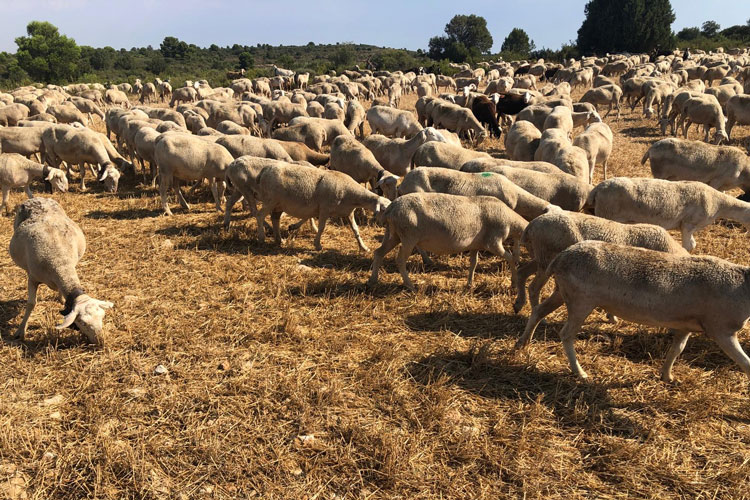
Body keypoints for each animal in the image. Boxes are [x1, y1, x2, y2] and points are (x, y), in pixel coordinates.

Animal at [8, 198, 113, 345]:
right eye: (83, 323)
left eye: (102, 316)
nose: (101, 341)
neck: (60, 262)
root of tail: (37, 198)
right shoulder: (33, 278)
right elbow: (31, 304)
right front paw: (20, 331)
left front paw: (61, 298)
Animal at [249, 162, 390, 251]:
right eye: (384, 209)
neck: (350, 193)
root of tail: (264, 171)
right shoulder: (324, 209)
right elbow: (322, 228)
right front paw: (317, 245)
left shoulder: (348, 212)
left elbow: (356, 230)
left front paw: (363, 247)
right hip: (270, 200)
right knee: (260, 215)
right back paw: (261, 238)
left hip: (279, 204)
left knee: (275, 218)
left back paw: (279, 240)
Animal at [368, 192, 528, 289]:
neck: (511, 221)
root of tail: (391, 208)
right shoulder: (493, 242)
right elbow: (510, 258)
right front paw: (514, 283)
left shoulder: (476, 244)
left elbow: (473, 263)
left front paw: (469, 283)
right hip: (408, 237)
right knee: (400, 259)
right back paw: (410, 285)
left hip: (393, 234)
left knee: (378, 252)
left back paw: (373, 280)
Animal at [512, 211, 686, 314]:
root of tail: (532, 225)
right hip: (546, 256)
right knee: (534, 287)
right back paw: (536, 311)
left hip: (541, 257)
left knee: (522, 272)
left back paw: (519, 304)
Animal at [517, 241, 750, 382]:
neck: (743, 286)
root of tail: (562, 256)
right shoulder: (722, 329)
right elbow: (746, 364)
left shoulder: (686, 325)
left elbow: (677, 349)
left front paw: (667, 376)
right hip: (581, 300)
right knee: (566, 334)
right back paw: (580, 372)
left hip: (562, 291)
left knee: (539, 311)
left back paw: (522, 343)